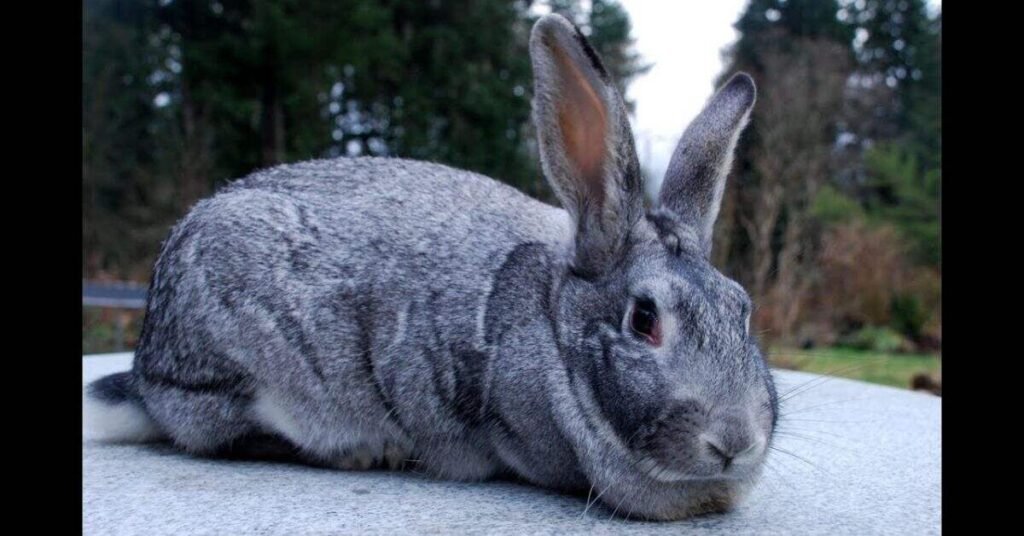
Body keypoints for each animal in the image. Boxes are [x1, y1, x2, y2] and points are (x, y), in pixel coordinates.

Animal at [83, 13, 777, 521]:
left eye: (743, 311)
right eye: (643, 320)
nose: (736, 441)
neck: (553, 328)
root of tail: (146, 364)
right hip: (236, 366)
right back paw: (372, 452)